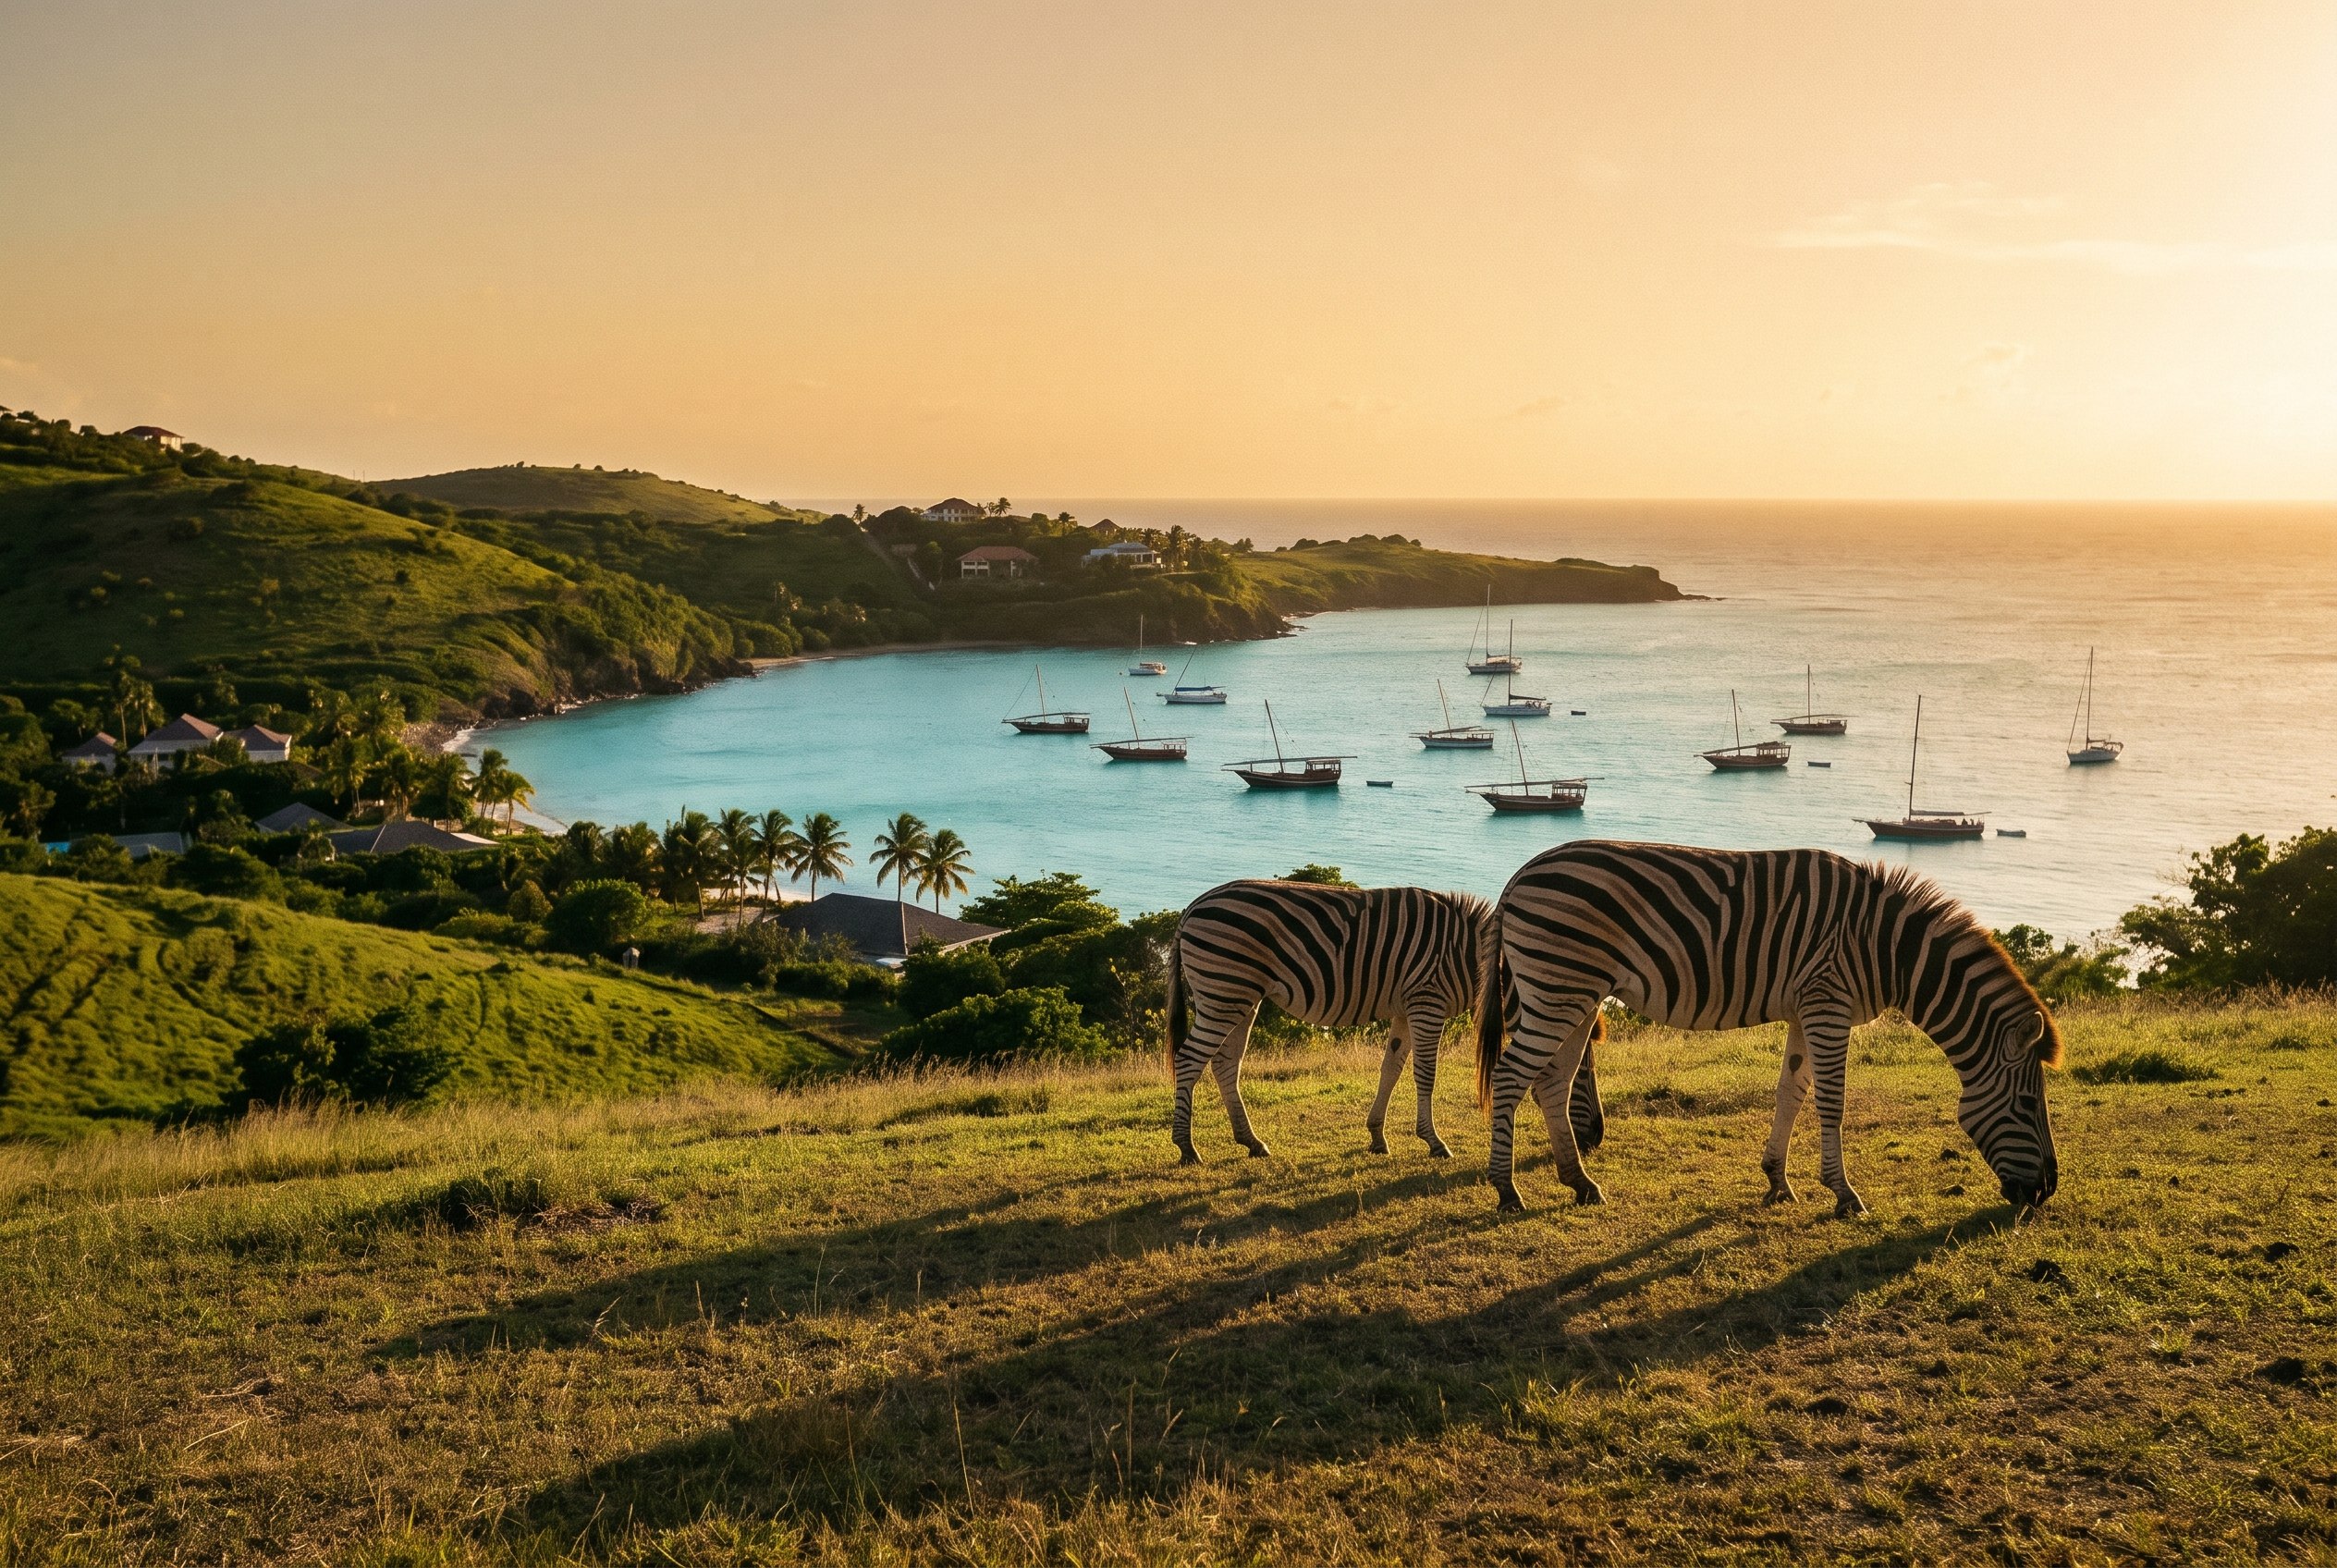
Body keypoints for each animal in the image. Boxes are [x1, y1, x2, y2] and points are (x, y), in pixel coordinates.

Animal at [1167, 878, 1602, 1164]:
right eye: (1581, 1072)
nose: (1597, 1137)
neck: (1469, 957)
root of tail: (1191, 907)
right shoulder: (1427, 1003)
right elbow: (1425, 1073)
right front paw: (1434, 1142)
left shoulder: (1406, 1009)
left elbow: (1391, 1068)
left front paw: (1377, 1136)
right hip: (1223, 992)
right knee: (1189, 1060)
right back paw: (1187, 1148)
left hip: (1241, 997)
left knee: (1225, 1063)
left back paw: (1251, 1142)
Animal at [1475, 841, 2060, 1217]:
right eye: (2029, 1105)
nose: (2047, 1192)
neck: (1887, 950)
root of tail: (1518, 875)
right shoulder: (1828, 1004)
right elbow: (1831, 1102)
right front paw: (1844, 1194)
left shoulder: (1807, 1009)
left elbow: (1791, 1094)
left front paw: (1777, 1181)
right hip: (1558, 987)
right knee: (1509, 1078)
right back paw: (1506, 1190)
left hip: (1574, 995)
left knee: (1551, 1082)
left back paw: (1580, 1183)